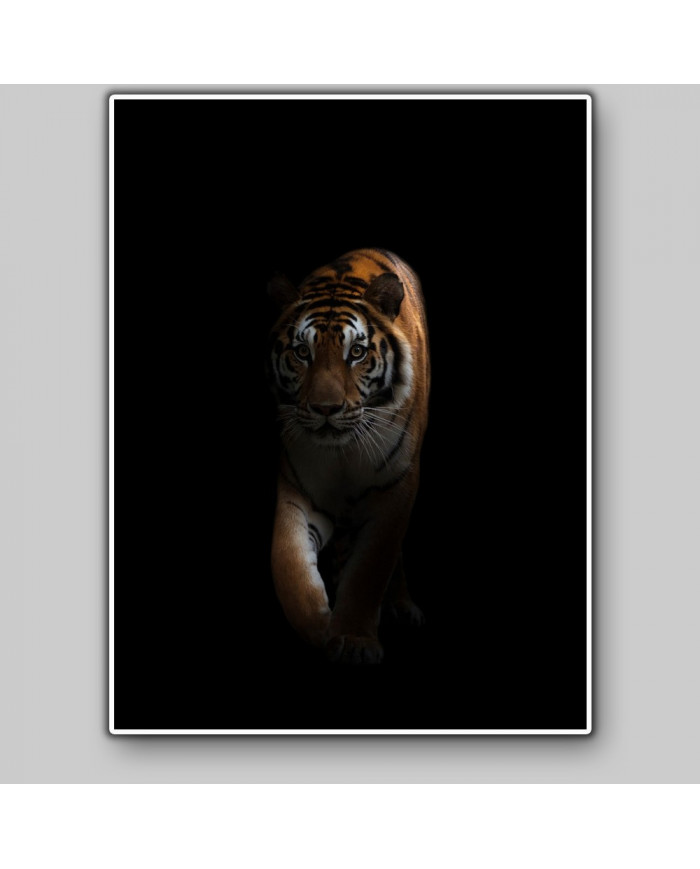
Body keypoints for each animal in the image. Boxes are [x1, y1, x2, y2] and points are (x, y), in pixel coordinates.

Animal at [267, 248, 430, 664]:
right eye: (302, 352)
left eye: (356, 352)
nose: (326, 408)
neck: (342, 453)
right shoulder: (297, 490)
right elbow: (289, 565)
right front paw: (319, 628)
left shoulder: (395, 490)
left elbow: (370, 569)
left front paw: (355, 639)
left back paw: (401, 607)